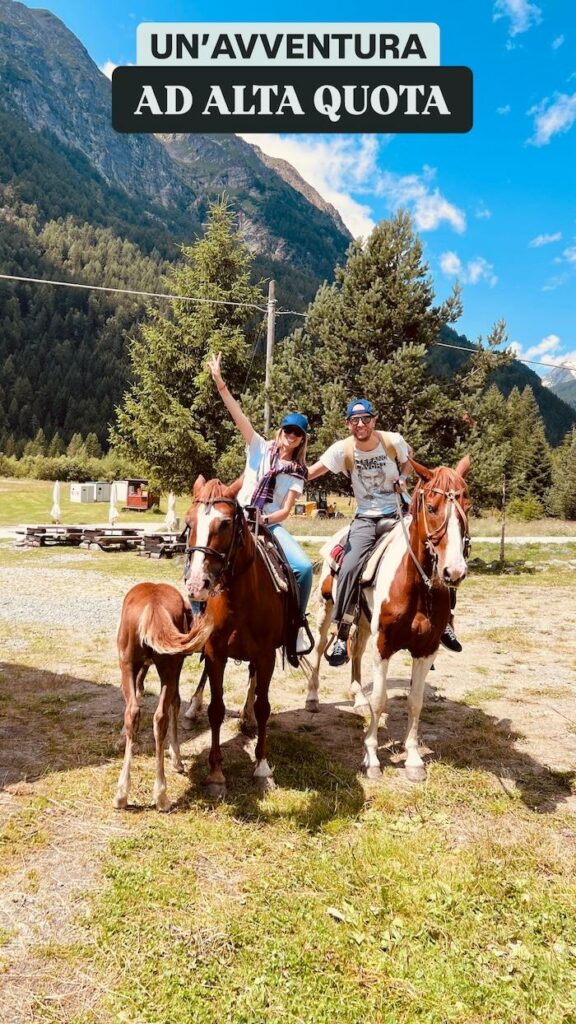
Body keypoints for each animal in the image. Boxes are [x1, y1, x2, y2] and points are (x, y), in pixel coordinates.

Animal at [183, 475, 289, 794]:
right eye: (189, 522)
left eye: (226, 524)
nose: (196, 584)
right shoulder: (215, 653)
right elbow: (216, 709)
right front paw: (216, 774)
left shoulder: (266, 656)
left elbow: (264, 706)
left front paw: (262, 767)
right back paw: (192, 709)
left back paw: (247, 715)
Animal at [303, 456, 469, 782]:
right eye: (432, 508)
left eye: (466, 506)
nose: (454, 571)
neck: (417, 587)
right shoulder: (384, 646)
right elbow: (379, 701)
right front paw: (371, 757)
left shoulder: (426, 649)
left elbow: (416, 702)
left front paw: (414, 759)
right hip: (326, 611)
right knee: (318, 649)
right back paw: (313, 698)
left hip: (366, 623)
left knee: (354, 649)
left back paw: (356, 697)